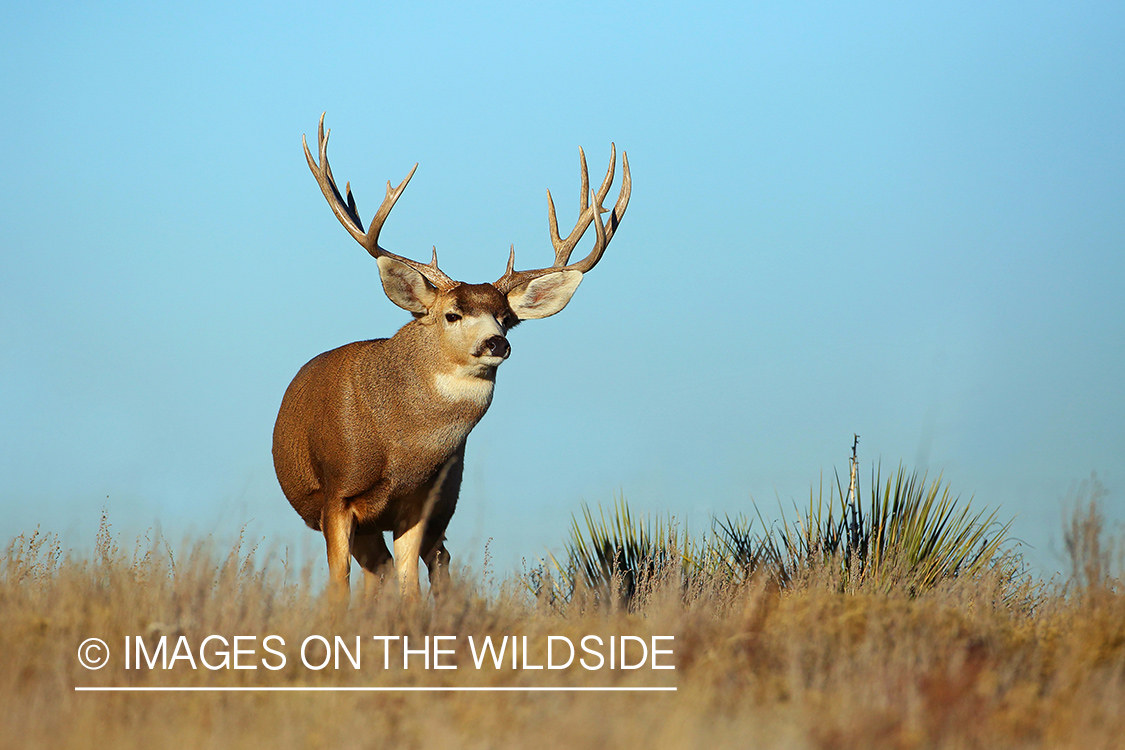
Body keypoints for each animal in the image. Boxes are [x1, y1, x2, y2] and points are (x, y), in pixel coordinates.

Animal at [272, 114, 630, 603]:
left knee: (431, 563)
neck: (400, 452)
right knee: (382, 570)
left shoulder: (423, 502)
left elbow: (409, 585)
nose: (497, 344)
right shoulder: (336, 494)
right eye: (452, 314)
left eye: (506, 319)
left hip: (445, 503)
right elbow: (339, 583)